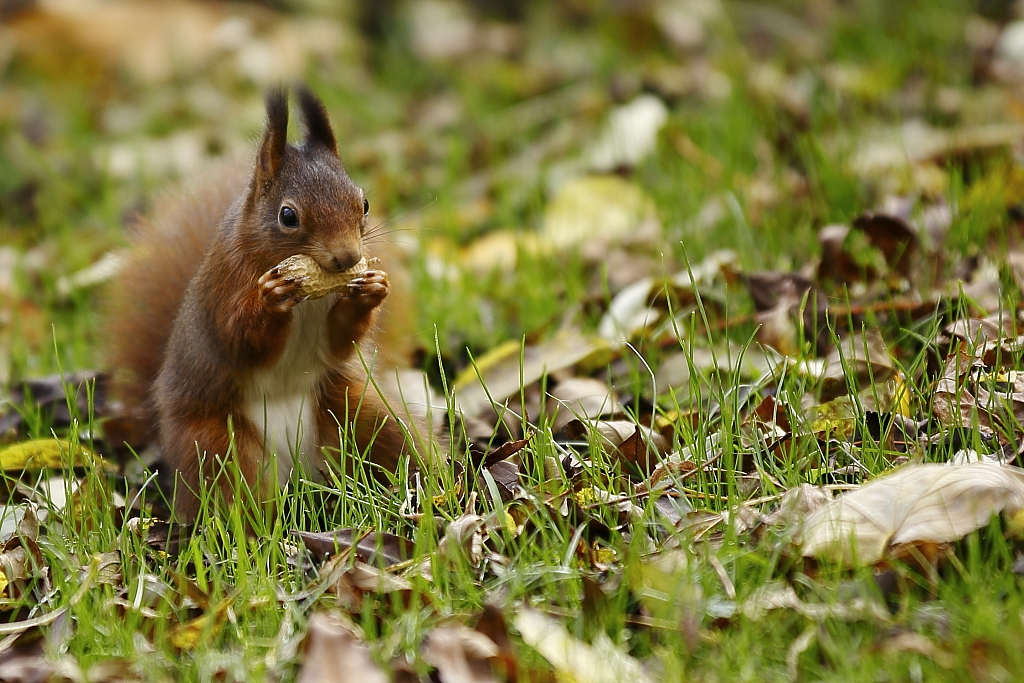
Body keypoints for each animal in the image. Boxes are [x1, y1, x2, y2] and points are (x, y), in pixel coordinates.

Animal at [104, 87, 423, 524]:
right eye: (287, 215)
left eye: (365, 204)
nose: (347, 258)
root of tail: (298, 470)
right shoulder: (224, 289)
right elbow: (239, 340)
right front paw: (271, 299)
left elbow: (338, 342)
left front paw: (372, 289)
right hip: (218, 448)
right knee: (234, 499)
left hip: (360, 414)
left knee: (398, 447)